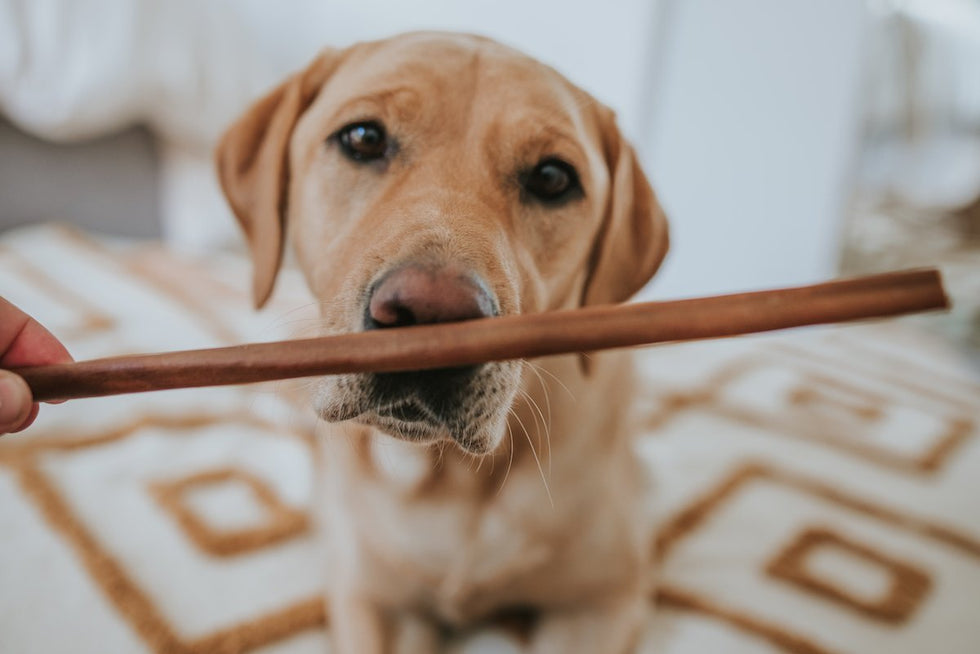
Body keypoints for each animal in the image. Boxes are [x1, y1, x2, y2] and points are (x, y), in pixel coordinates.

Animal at [218, 32, 668, 654]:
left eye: (553, 178)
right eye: (363, 138)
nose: (431, 314)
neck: (452, 477)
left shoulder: (602, 599)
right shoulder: (376, 603)